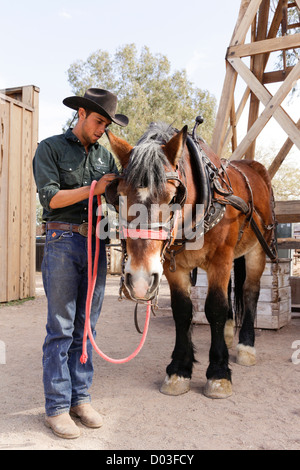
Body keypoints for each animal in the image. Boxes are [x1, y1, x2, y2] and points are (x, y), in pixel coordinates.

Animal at [103, 119, 276, 398]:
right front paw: (179, 370)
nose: (139, 280)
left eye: (173, 197)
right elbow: (182, 311)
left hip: (257, 250)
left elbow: (215, 308)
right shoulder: (172, 266)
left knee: (250, 291)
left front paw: (218, 372)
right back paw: (228, 333)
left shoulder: (221, 258)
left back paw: (246, 346)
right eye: (118, 196)